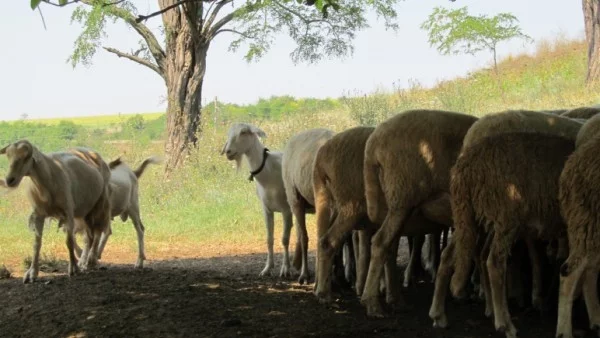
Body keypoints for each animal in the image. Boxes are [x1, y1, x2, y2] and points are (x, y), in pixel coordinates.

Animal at [358, 110, 476, 316]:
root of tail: (373, 143)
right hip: (402, 195)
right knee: (380, 242)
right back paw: (372, 303)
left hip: (394, 202)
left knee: (390, 246)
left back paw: (395, 299)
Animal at [438, 133, 576, 338]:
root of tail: (465, 167)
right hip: (506, 216)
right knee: (494, 262)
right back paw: (505, 324)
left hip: (470, 217)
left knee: (450, 255)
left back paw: (439, 314)